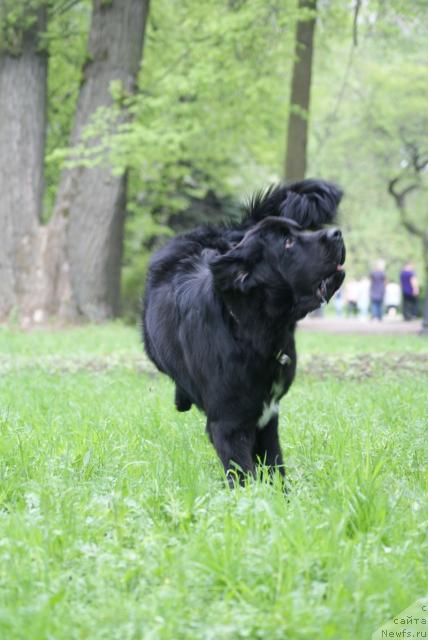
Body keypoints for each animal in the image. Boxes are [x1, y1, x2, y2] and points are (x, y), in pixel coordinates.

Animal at [142, 179, 346, 484]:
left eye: (299, 230)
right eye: (287, 242)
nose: (336, 233)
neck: (255, 331)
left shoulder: (268, 417)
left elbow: (274, 467)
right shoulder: (228, 425)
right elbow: (243, 474)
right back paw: (182, 399)